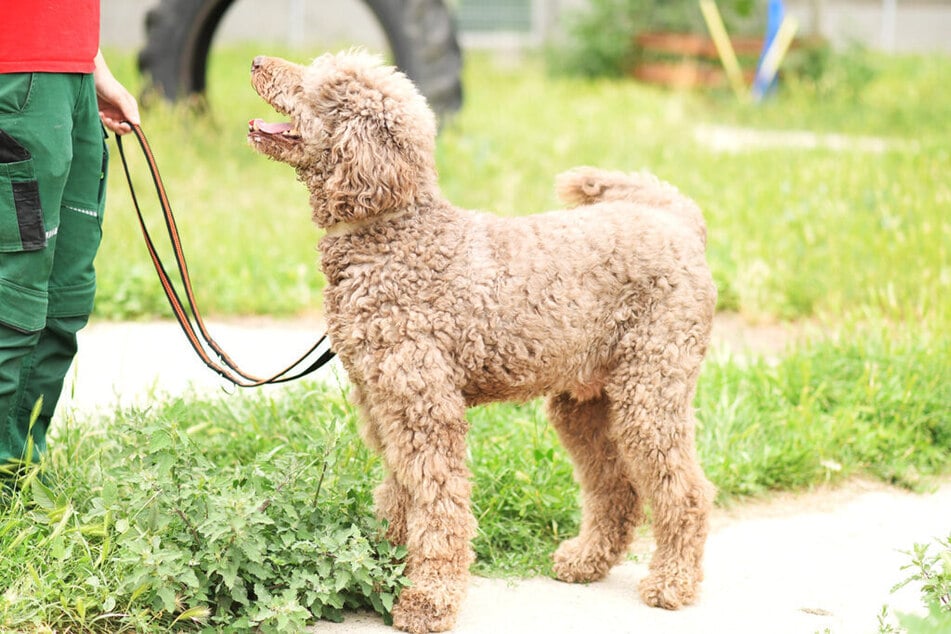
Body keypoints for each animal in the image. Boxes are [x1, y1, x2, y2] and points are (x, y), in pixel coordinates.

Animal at [249, 50, 716, 632]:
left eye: (319, 85)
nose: (256, 61)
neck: (396, 235)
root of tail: (680, 223)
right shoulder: (385, 406)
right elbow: (401, 496)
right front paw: (384, 568)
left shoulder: (425, 409)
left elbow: (439, 505)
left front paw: (428, 598)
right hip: (584, 403)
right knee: (617, 488)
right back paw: (586, 561)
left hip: (650, 391)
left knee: (686, 491)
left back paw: (672, 582)